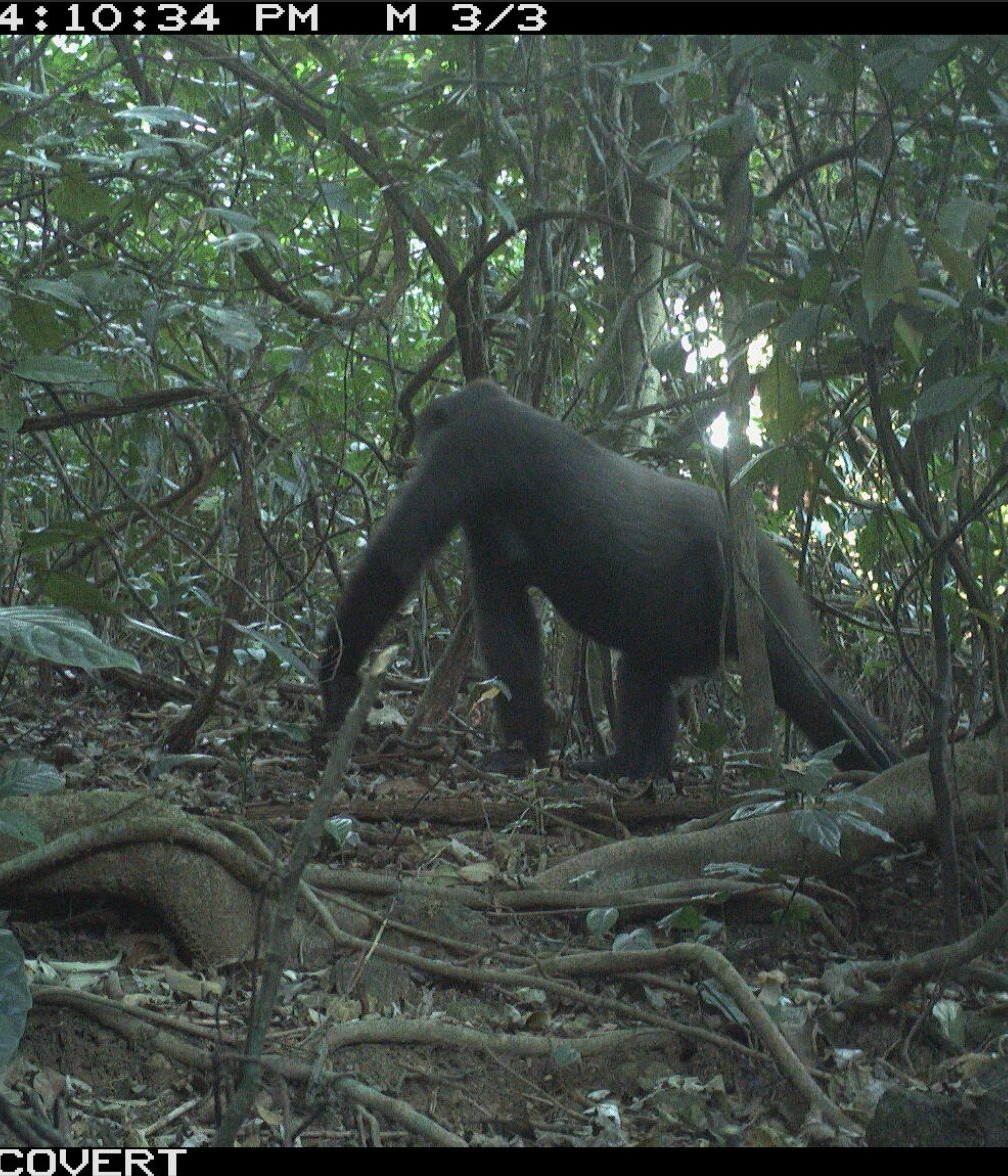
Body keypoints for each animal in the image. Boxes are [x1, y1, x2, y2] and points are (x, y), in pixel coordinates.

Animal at [321, 380, 900, 777]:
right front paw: (526, 748)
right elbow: (509, 632)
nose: (411, 446)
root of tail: (762, 540)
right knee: (644, 669)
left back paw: (886, 766)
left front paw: (337, 675)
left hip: (760, 588)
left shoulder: (467, 452)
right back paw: (633, 766)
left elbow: (394, 561)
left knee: (802, 685)